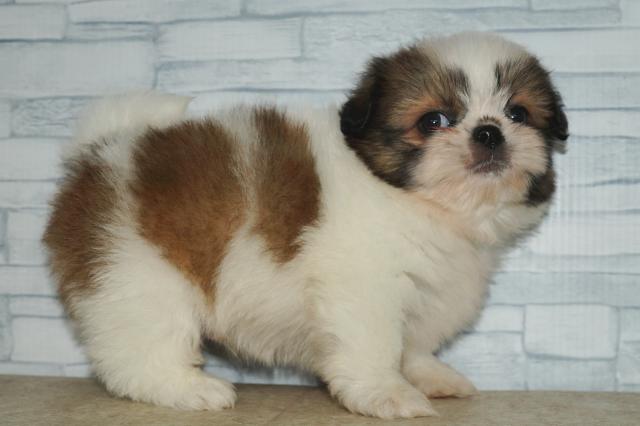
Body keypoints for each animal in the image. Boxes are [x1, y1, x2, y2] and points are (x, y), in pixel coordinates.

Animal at [43, 32, 567, 418]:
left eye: (518, 113)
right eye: (434, 121)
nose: (489, 132)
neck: (421, 204)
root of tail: (98, 156)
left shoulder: (428, 288)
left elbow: (413, 341)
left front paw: (430, 375)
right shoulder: (364, 286)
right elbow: (376, 343)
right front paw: (388, 393)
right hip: (138, 273)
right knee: (140, 346)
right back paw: (188, 388)